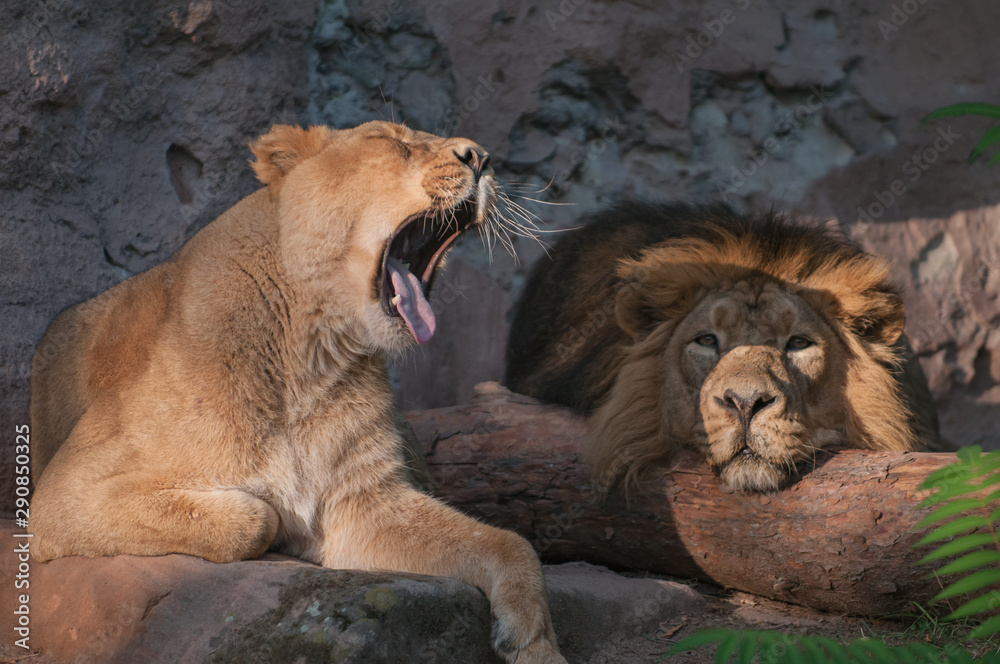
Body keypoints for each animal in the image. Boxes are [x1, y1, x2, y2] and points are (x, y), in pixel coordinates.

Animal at [29, 122, 566, 664]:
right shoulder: (62, 497)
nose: (481, 157)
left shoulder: (361, 503)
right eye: (391, 141)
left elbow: (509, 544)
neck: (308, 356)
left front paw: (536, 645)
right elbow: (254, 516)